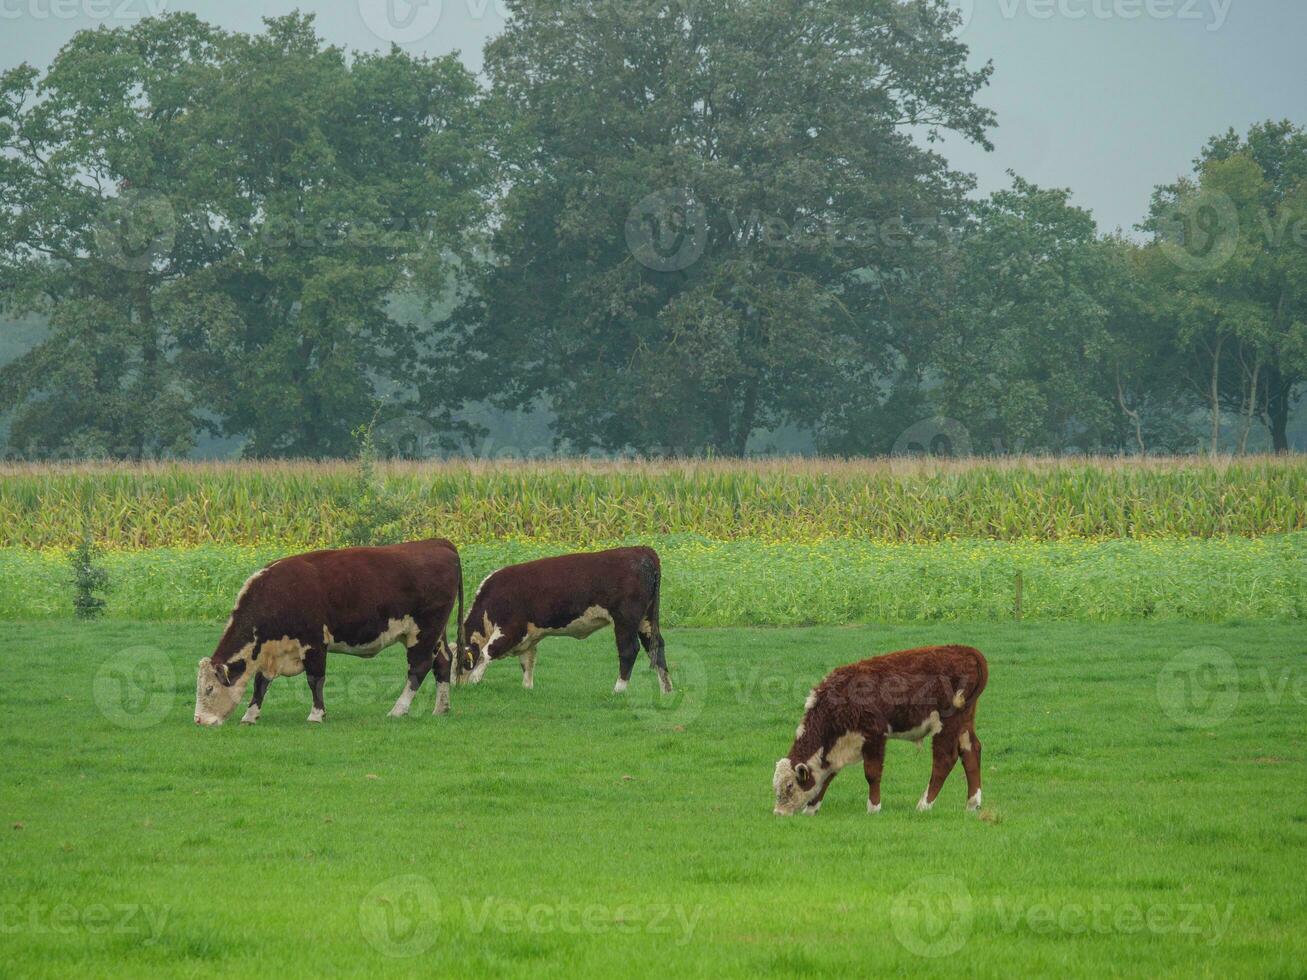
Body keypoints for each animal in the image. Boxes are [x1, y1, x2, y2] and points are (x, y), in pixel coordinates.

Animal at [190, 538, 462, 731]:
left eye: (210, 689)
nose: (199, 720)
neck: (277, 594)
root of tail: (437, 542)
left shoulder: (314, 644)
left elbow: (315, 680)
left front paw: (316, 714)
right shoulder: (271, 651)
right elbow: (260, 683)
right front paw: (250, 715)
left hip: (423, 631)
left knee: (419, 668)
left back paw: (398, 709)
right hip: (432, 634)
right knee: (442, 662)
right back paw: (441, 708)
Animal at [452, 546, 674, 700]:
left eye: (457, 662)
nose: (454, 686)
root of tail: (641, 549)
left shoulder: (512, 629)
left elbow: (487, 652)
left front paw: (475, 681)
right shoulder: (529, 637)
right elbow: (528, 662)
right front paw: (527, 688)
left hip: (625, 620)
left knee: (629, 650)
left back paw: (618, 690)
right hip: (646, 620)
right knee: (656, 648)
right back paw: (666, 690)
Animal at [768, 648, 982, 815]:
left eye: (790, 785)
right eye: (775, 785)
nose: (779, 813)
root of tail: (965, 651)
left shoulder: (874, 735)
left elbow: (872, 773)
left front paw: (874, 808)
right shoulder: (839, 746)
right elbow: (827, 775)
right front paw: (812, 808)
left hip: (947, 724)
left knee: (944, 760)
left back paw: (924, 805)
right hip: (964, 723)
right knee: (971, 751)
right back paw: (972, 804)